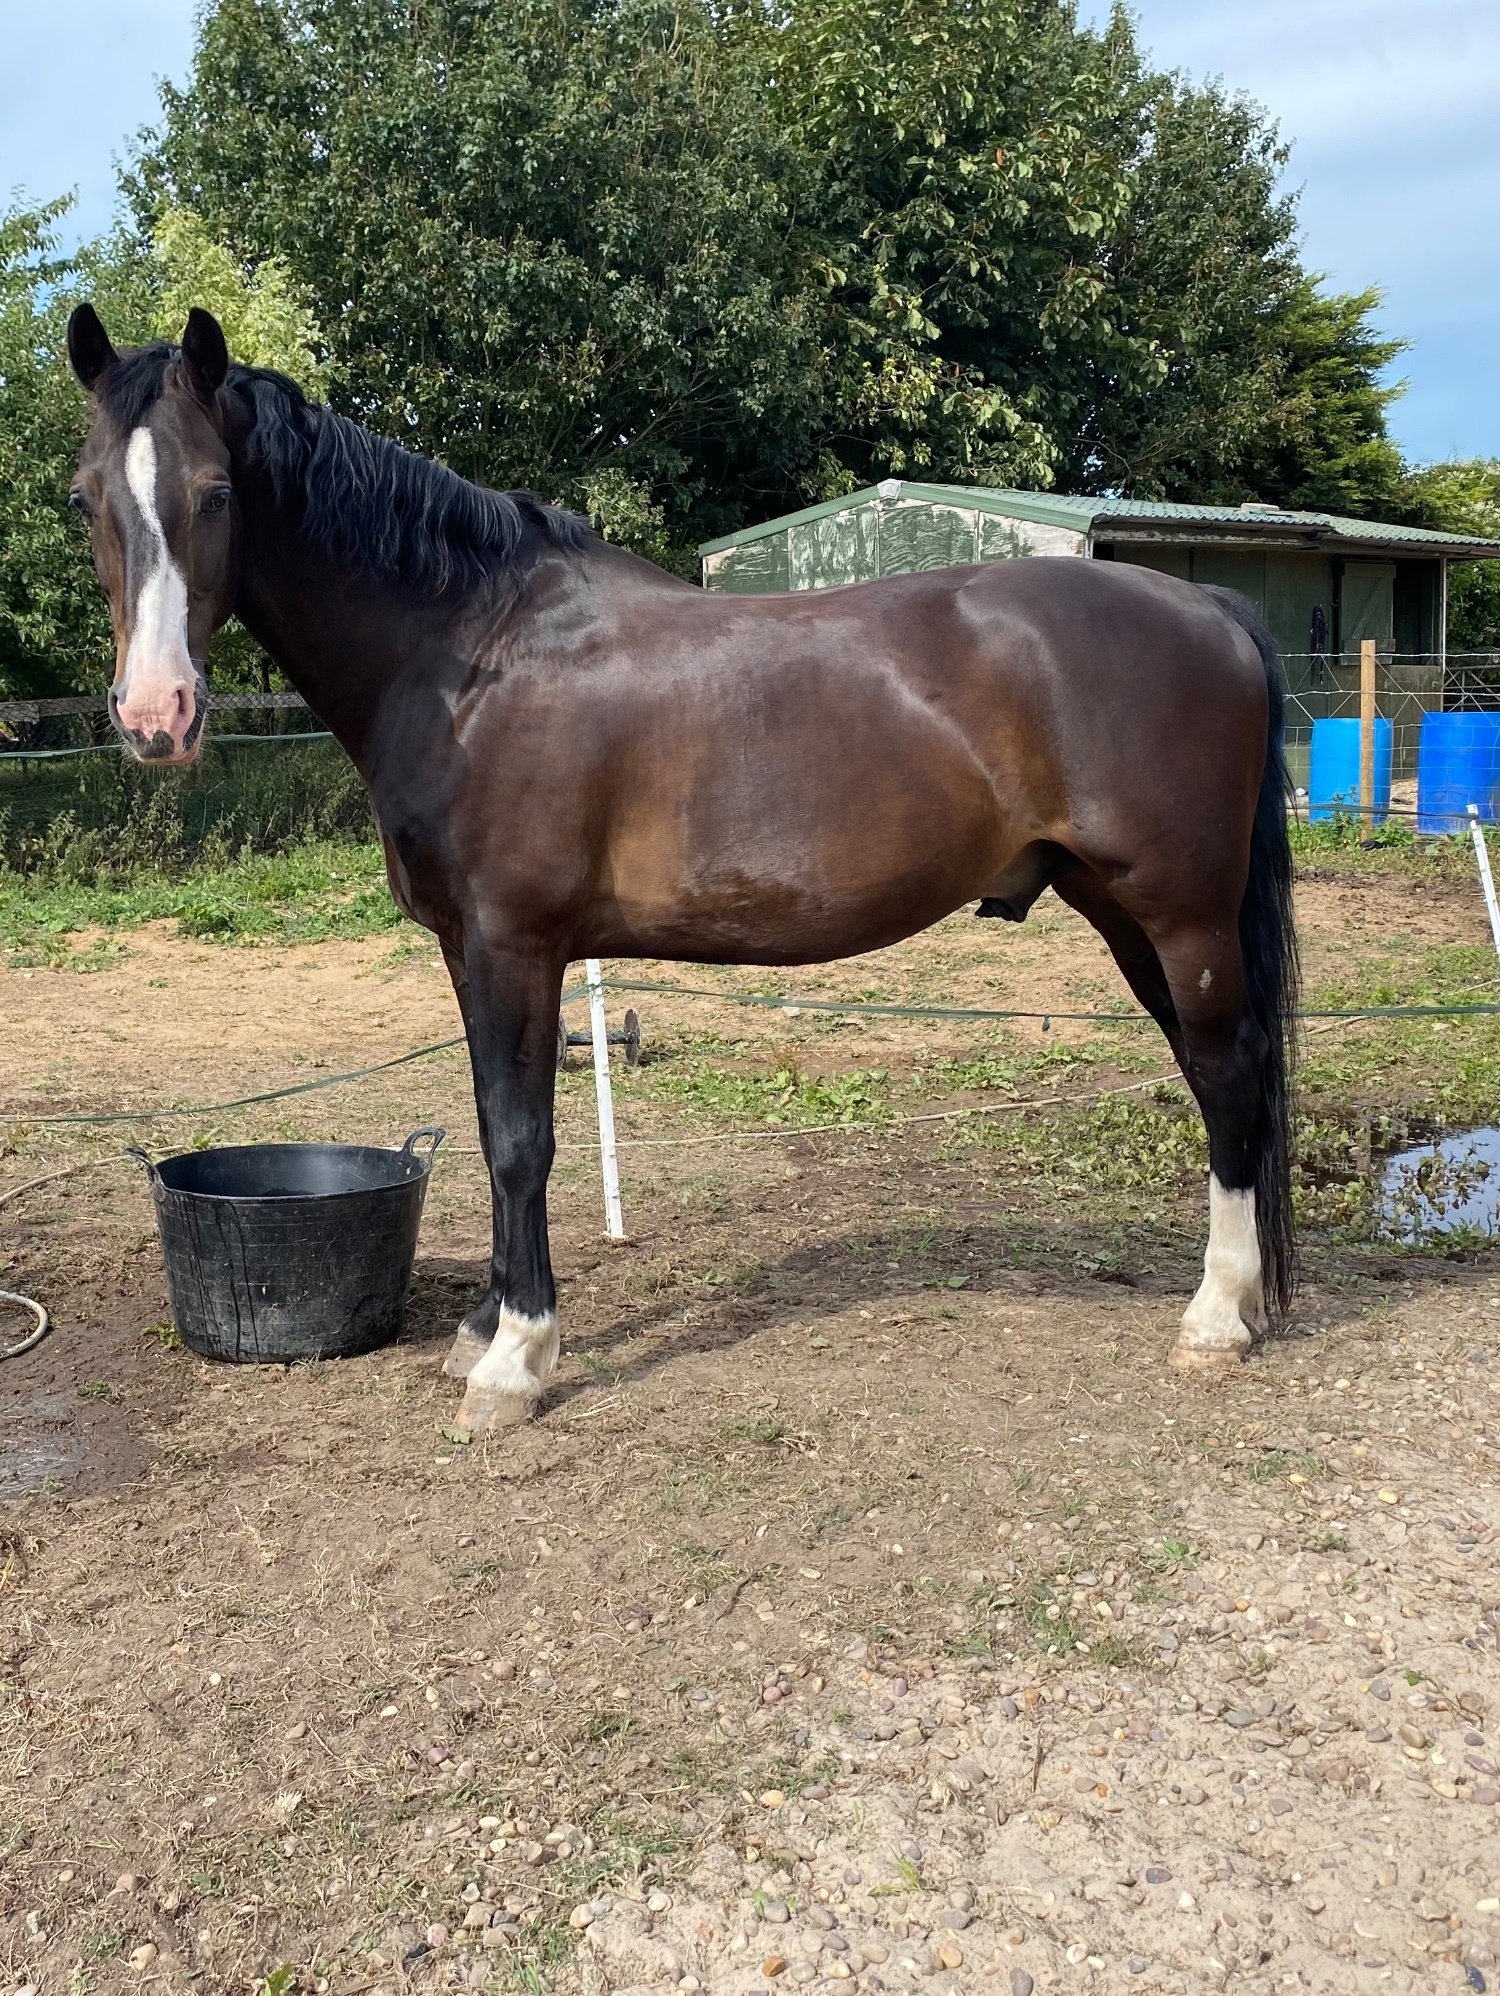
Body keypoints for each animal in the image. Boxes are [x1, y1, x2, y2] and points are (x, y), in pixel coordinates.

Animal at [66, 303, 1298, 1433]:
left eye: (218, 492)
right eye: (87, 500)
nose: (155, 715)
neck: (471, 654)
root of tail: (1210, 602)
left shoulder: (516, 945)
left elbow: (521, 1140)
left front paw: (516, 1359)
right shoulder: (469, 950)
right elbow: (487, 1120)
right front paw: (484, 1328)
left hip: (1178, 914)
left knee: (1229, 1071)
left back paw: (1213, 1318)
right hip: (1129, 915)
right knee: (1217, 1075)